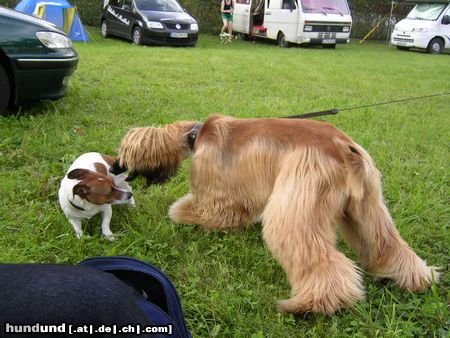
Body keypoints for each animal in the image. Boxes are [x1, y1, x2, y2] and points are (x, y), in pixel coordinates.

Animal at [114, 115, 438, 314]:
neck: (196, 134)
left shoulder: (214, 193)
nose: (116, 166)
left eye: (125, 153)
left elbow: (189, 211)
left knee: (322, 260)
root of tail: (343, 147)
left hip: (297, 200)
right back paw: (414, 278)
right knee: (387, 243)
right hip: (367, 206)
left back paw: (315, 305)